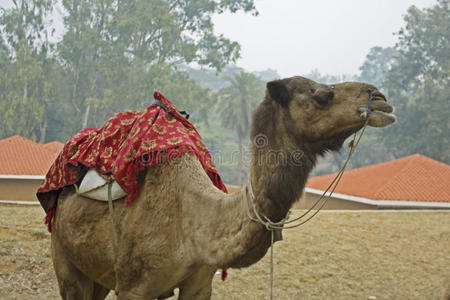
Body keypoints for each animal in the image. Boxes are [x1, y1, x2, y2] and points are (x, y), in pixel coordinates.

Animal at [49, 76, 396, 298]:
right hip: (65, 260)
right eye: (323, 95)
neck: (194, 224)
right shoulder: (134, 288)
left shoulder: (200, 284)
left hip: (97, 273)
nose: (381, 99)